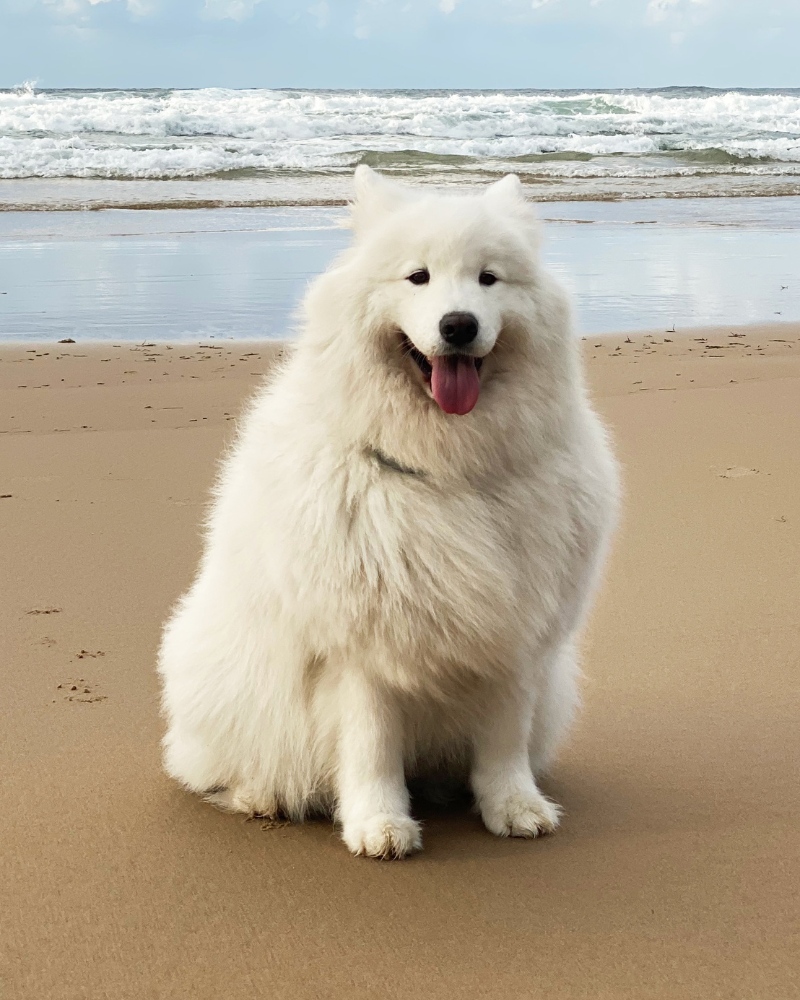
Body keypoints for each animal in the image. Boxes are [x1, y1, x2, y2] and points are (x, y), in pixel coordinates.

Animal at [158, 166, 620, 860]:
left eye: (488, 279)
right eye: (417, 277)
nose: (458, 326)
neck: (448, 472)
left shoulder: (514, 635)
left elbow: (504, 740)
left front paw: (513, 807)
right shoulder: (360, 647)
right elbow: (372, 743)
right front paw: (378, 824)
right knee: (219, 764)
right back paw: (260, 795)